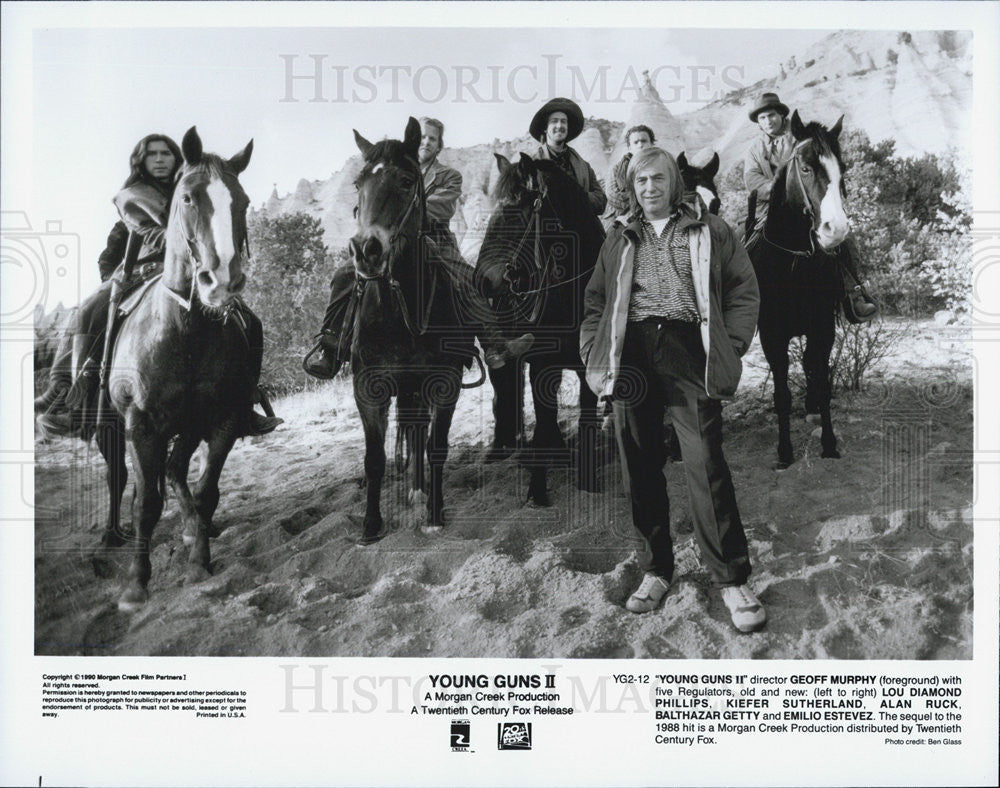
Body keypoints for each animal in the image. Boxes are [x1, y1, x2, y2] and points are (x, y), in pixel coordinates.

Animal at [91, 127, 254, 608]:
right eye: (187, 197)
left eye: (243, 202)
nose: (221, 283)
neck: (185, 332)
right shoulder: (141, 425)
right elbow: (144, 505)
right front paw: (135, 584)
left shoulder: (221, 419)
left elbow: (205, 492)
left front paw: (199, 561)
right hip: (118, 429)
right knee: (130, 479)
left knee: (175, 471)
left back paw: (188, 530)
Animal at [348, 118, 476, 540]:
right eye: (358, 183)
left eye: (406, 181)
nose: (366, 250)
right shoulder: (368, 386)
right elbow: (374, 457)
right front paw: (371, 525)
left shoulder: (444, 381)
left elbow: (436, 446)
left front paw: (435, 514)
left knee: (420, 436)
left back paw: (419, 492)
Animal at [474, 152, 604, 504]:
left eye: (517, 211)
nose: (483, 280)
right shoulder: (543, 363)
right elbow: (543, 417)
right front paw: (537, 489)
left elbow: (586, 413)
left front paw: (588, 479)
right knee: (505, 393)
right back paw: (504, 448)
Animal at [748, 111, 848, 468]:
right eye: (805, 168)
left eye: (842, 169)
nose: (836, 230)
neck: (792, 262)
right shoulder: (772, 335)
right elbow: (781, 393)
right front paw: (784, 452)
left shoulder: (823, 328)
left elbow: (823, 381)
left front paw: (830, 443)